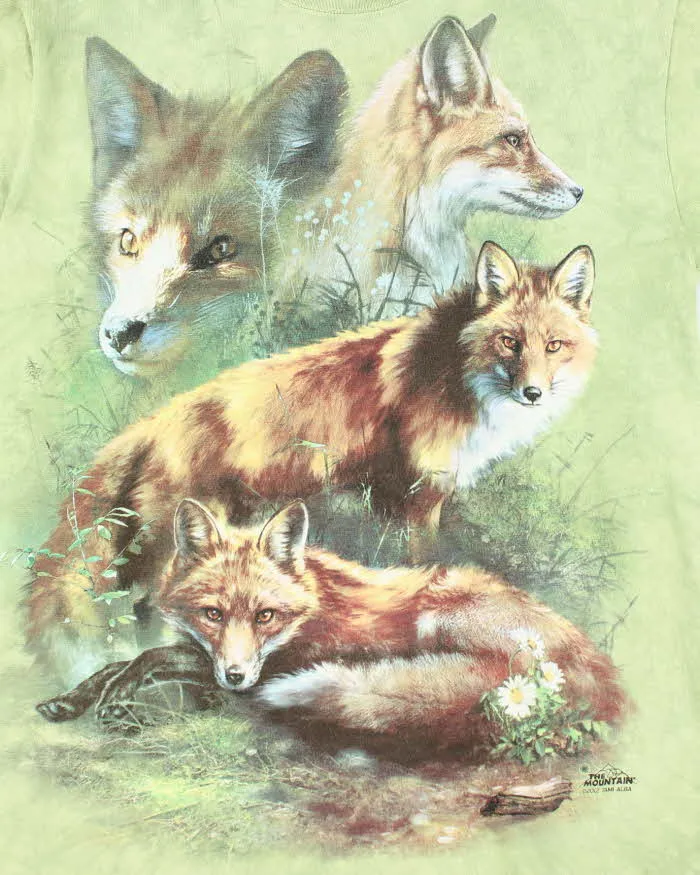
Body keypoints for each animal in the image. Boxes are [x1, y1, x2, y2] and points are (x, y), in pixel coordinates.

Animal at [25, 241, 596, 684]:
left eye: (554, 345)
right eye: (510, 341)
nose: (532, 393)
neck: (454, 371)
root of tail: (152, 422)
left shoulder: (400, 496)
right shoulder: (416, 495)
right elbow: (423, 562)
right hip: (176, 543)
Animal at [36, 500, 626, 755]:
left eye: (265, 615)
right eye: (213, 614)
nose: (235, 678)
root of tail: (597, 671)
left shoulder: (280, 661)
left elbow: (147, 659)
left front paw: (119, 702)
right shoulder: (217, 656)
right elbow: (125, 661)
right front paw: (73, 699)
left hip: (441, 613)